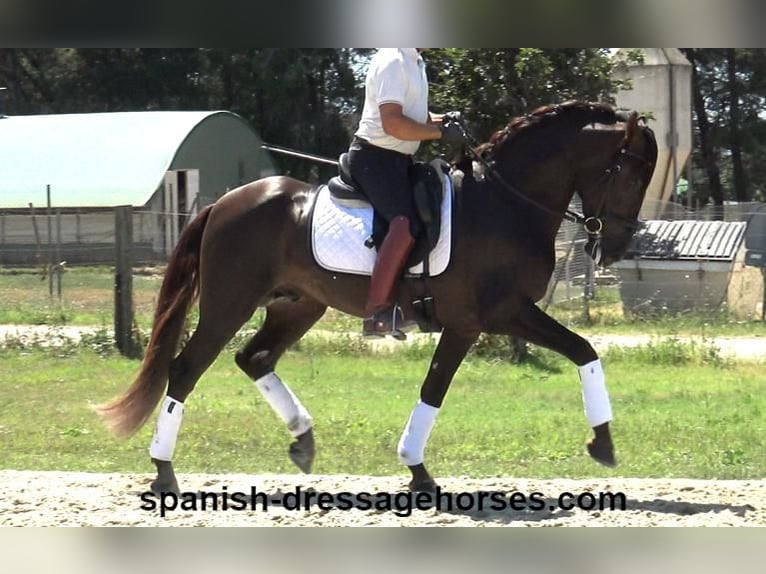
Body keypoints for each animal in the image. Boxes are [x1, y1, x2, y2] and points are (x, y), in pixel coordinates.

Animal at [96, 99, 660, 496]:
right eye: (630, 172)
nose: (615, 246)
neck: (505, 202)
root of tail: (223, 204)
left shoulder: (504, 316)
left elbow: (584, 351)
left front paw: (603, 442)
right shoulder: (486, 318)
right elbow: (437, 390)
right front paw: (419, 472)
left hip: (299, 304)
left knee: (254, 358)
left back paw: (302, 441)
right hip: (228, 304)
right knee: (186, 370)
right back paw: (164, 472)